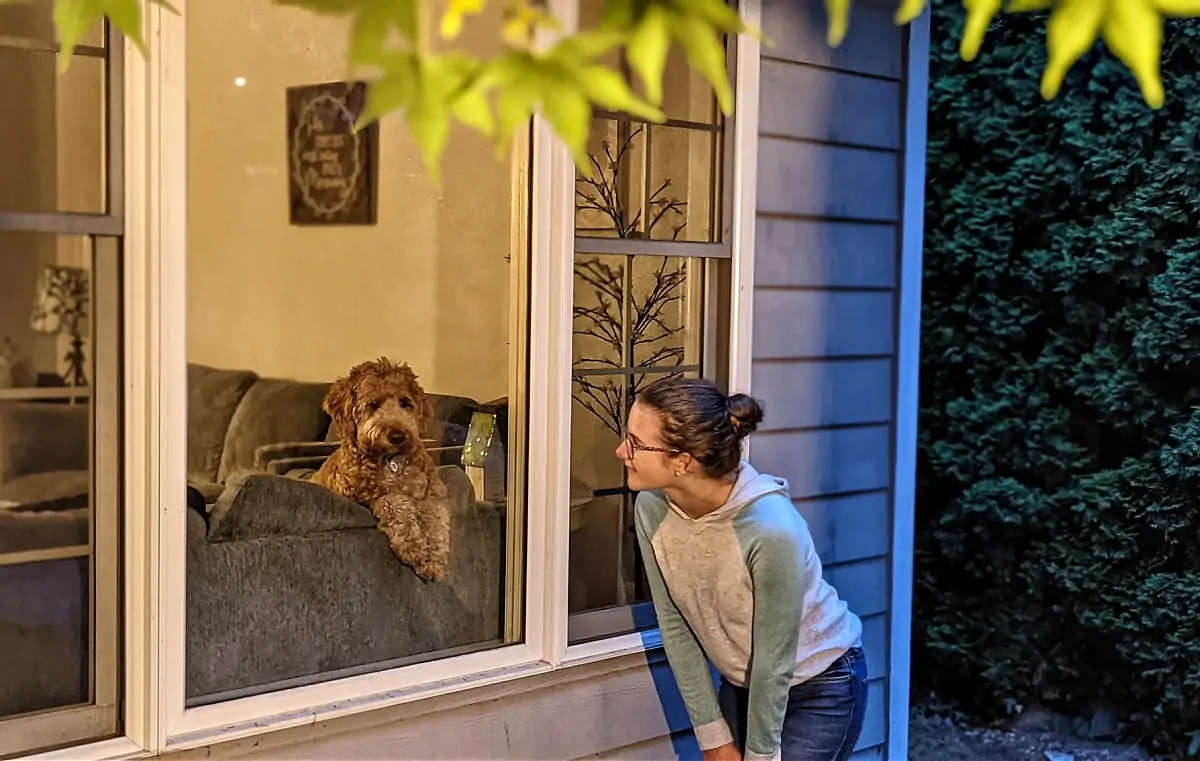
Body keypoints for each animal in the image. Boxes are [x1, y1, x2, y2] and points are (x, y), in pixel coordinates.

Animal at [314, 355, 451, 580]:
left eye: (405, 403)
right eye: (373, 403)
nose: (397, 436)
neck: (391, 460)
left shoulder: (433, 493)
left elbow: (435, 519)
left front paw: (434, 559)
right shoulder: (364, 493)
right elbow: (396, 505)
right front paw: (416, 549)